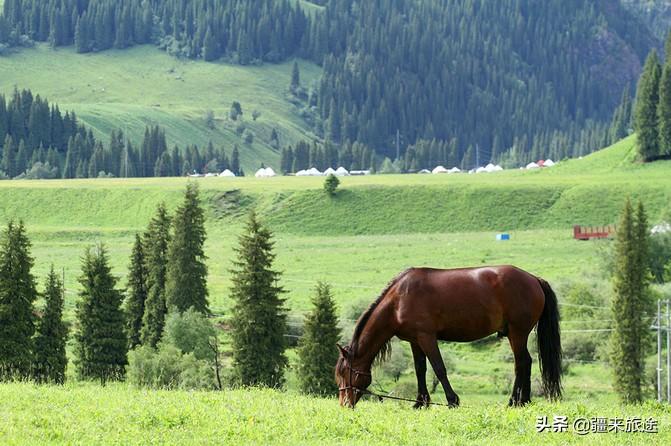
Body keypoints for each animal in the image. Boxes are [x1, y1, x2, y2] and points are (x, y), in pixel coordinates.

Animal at [336, 264, 560, 408]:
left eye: (345, 372)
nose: (344, 404)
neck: (398, 300)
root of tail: (534, 279)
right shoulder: (415, 341)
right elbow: (420, 369)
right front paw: (420, 403)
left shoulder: (427, 337)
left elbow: (439, 368)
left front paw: (452, 400)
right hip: (518, 334)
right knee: (527, 362)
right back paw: (525, 400)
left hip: (517, 332)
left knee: (520, 363)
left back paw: (514, 401)